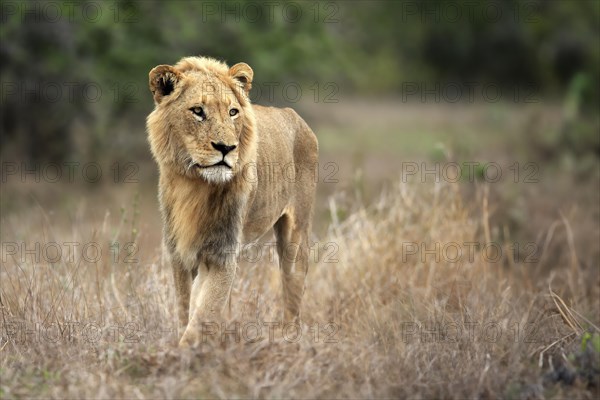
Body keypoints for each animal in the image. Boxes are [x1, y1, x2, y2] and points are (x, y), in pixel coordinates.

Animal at [146, 56, 318, 346]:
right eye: (198, 111)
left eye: (233, 112)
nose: (226, 148)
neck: (196, 186)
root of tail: (295, 116)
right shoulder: (180, 254)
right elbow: (186, 308)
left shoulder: (222, 253)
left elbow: (202, 312)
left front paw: (182, 352)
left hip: (296, 234)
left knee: (292, 294)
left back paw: (288, 341)